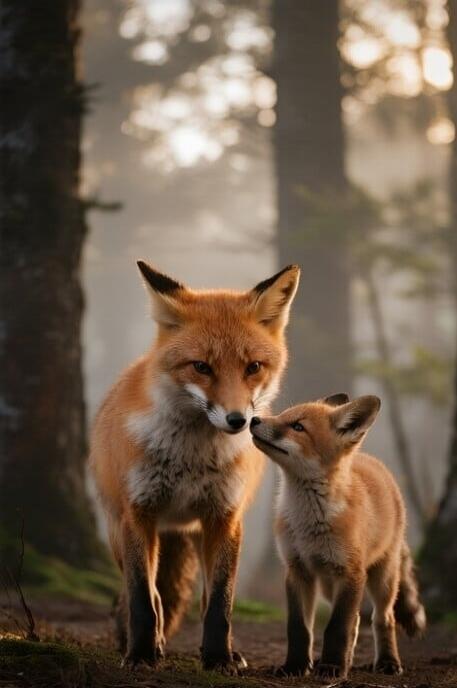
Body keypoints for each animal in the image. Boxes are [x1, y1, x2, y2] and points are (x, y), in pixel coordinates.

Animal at [89, 261, 300, 672]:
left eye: (253, 367)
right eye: (201, 367)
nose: (238, 420)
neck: (192, 459)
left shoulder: (224, 517)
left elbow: (220, 603)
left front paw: (218, 658)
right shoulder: (138, 514)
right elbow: (142, 599)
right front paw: (141, 654)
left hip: (202, 531)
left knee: (202, 600)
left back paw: (227, 650)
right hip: (119, 530)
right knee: (150, 596)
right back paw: (144, 642)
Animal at [249, 393, 426, 679]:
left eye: (298, 427)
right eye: (283, 415)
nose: (254, 419)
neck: (311, 522)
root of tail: (373, 461)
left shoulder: (351, 572)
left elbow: (336, 627)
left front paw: (332, 667)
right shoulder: (297, 570)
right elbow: (299, 628)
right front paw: (296, 665)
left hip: (382, 578)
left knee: (383, 619)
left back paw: (386, 661)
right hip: (328, 586)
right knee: (356, 621)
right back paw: (348, 662)